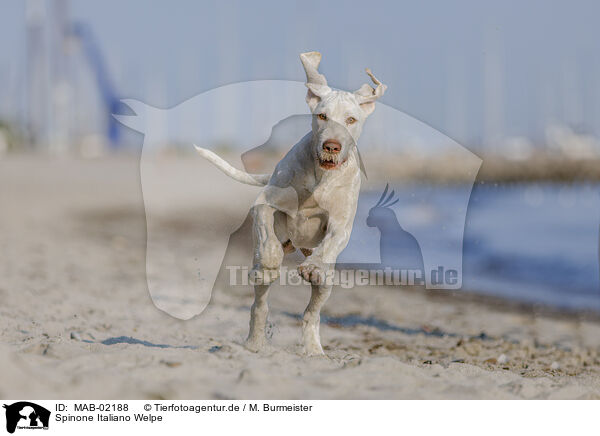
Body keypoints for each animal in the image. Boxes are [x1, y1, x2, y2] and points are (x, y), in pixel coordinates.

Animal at [195, 51, 386, 354]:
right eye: (322, 116)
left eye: (351, 119)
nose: (331, 146)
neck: (320, 177)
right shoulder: (263, 204)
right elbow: (268, 241)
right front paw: (270, 263)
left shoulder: (341, 225)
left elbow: (331, 243)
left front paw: (313, 267)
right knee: (260, 303)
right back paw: (255, 340)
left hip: (326, 282)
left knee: (312, 312)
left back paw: (313, 349)